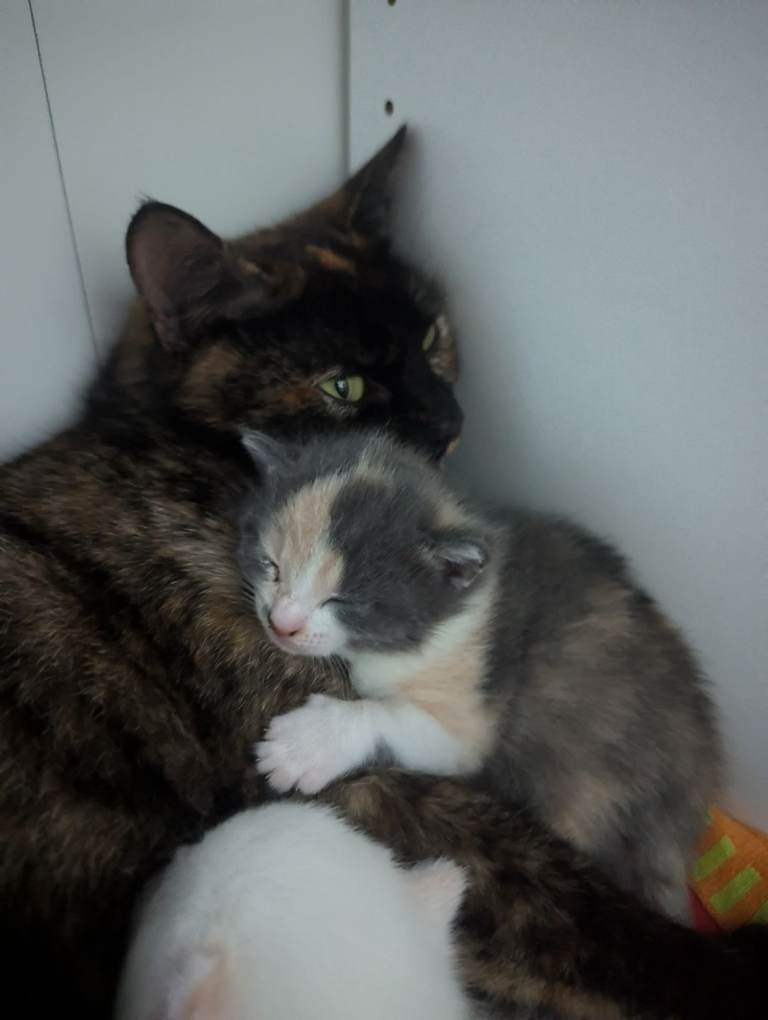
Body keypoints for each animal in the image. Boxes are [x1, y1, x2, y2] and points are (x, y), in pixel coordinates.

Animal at [240, 429, 722, 922]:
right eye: (271, 566)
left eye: (343, 601)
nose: (281, 624)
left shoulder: (470, 717)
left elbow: (386, 715)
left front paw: (305, 745)